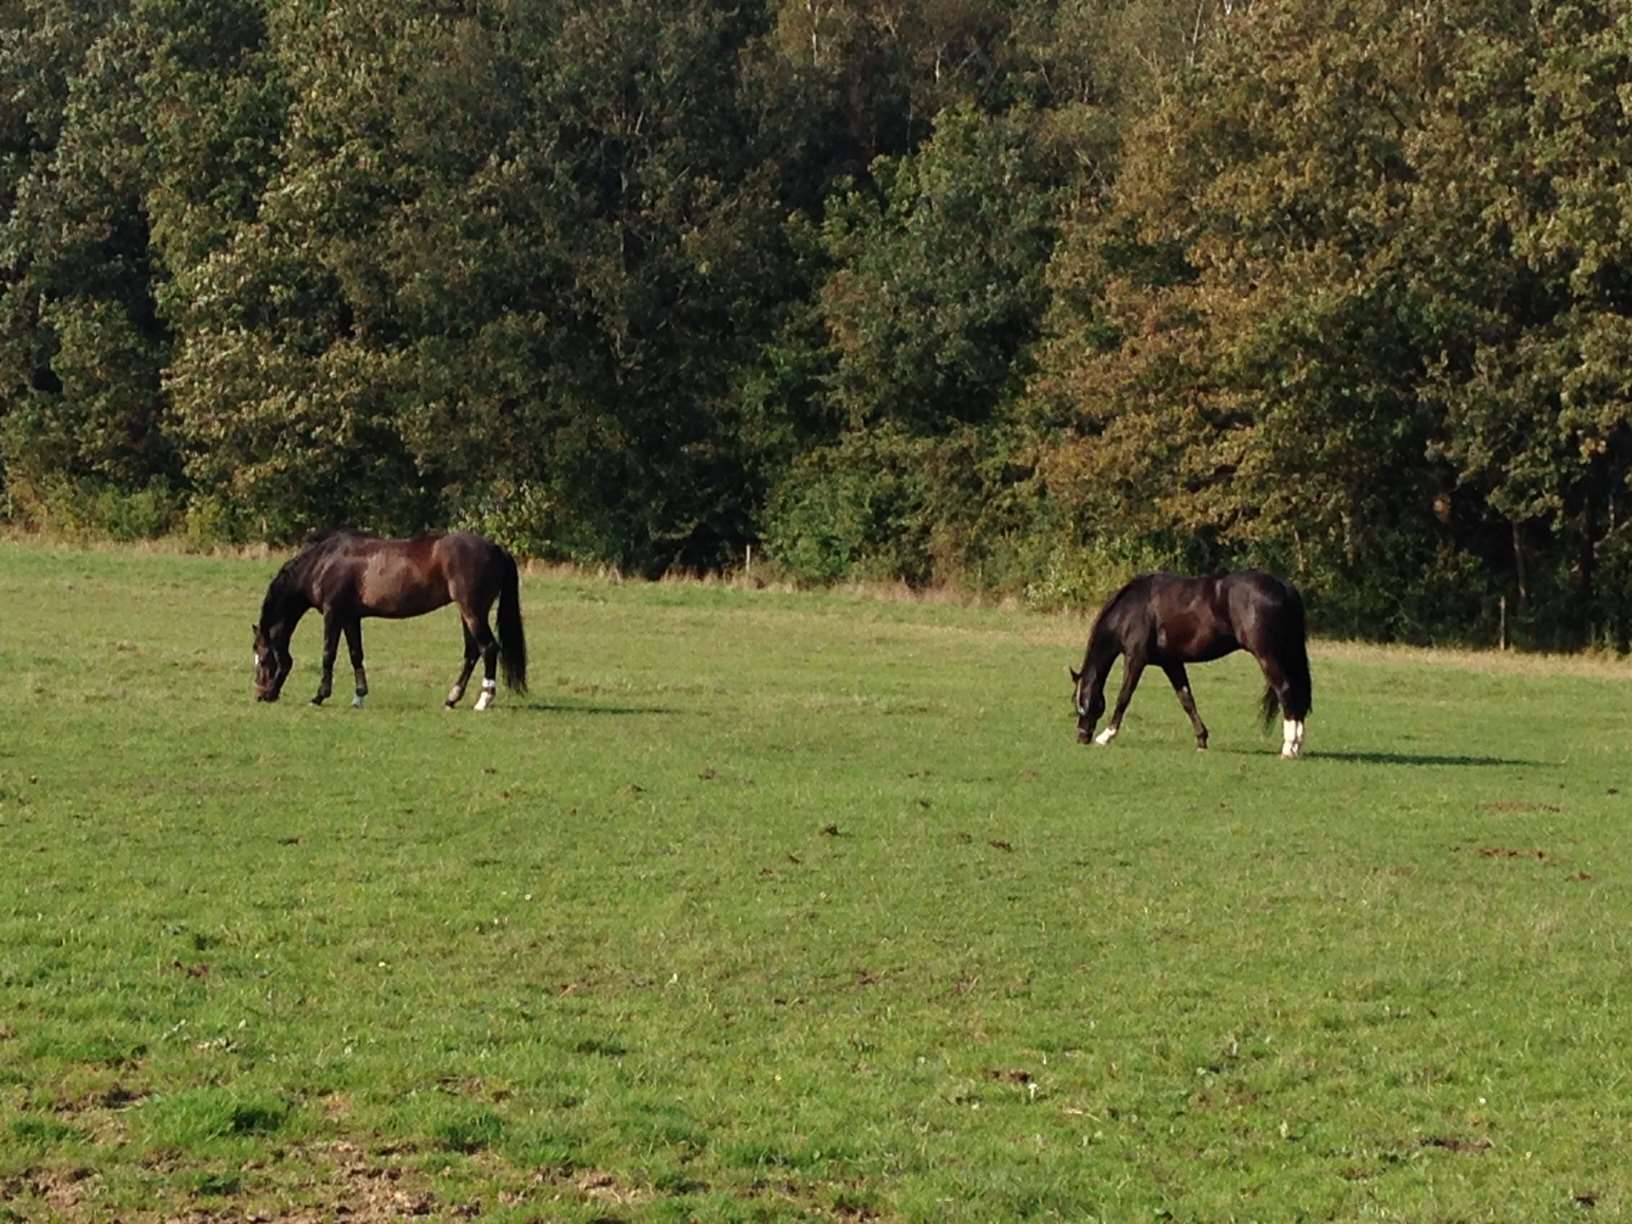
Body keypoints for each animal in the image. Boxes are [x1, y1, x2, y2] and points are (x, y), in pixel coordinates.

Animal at [251, 532, 528, 714]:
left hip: (473, 611)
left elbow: (329, 654)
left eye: (263, 659)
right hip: (467, 613)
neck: (323, 563)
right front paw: (359, 697)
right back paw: (452, 698)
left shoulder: (333, 614)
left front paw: (319, 696)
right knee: (472, 652)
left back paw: (483, 700)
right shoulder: (350, 617)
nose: (262, 694)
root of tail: (496, 549)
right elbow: (355, 654)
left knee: (488, 648)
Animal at [1070, 574, 1312, 757]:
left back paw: (1288, 746)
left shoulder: (1135, 659)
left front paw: (1106, 736)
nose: (1081, 736)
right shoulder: (1171, 663)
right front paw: (1201, 740)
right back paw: (1297, 745)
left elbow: (1124, 697)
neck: (1132, 608)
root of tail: (1283, 586)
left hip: (1267, 656)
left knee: (1286, 691)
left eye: (1079, 701)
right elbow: (1186, 700)